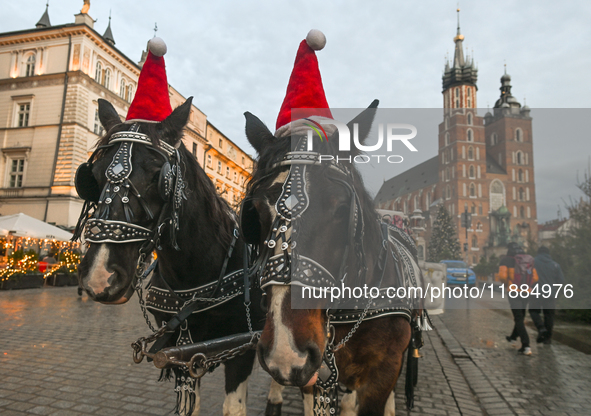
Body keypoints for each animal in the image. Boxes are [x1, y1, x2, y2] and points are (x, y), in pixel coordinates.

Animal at [74, 99, 270, 416]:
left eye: (159, 176)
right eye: (93, 176)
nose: (100, 276)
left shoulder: (243, 347)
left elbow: (234, 407)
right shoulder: (183, 354)